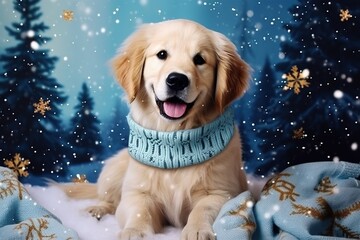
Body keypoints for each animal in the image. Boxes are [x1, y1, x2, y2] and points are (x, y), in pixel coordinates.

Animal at [62, 19, 250, 240]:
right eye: (162, 54)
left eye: (200, 59)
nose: (177, 80)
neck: (174, 136)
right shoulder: (137, 192)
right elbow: (138, 210)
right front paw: (134, 232)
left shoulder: (223, 193)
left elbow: (203, 209)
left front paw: (197, 230)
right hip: (114, 169)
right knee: (109, 200)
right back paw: (97, 210)